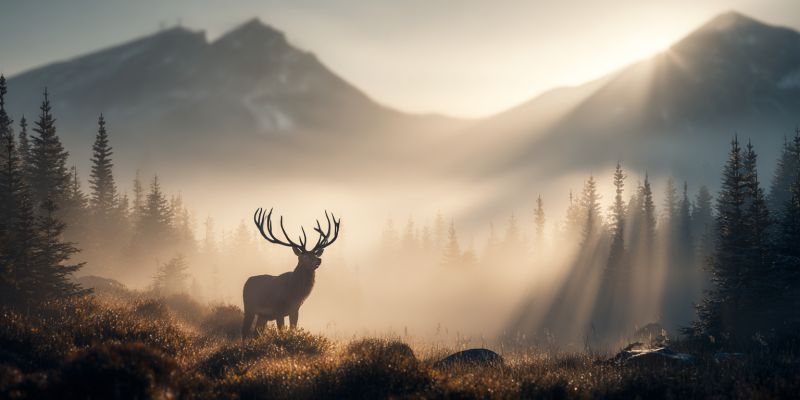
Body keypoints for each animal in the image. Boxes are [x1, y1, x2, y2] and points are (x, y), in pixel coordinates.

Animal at [241, 208, 340, 339]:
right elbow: (281, 332)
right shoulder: (278, 310)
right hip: (249, 307)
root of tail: (247, 282)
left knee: (256, 333)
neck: (293, 293)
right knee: (244, 331)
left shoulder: (295, 310)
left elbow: (293, 329)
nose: (319, 260)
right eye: (304, 256)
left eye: (315, 254)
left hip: (263, 316)